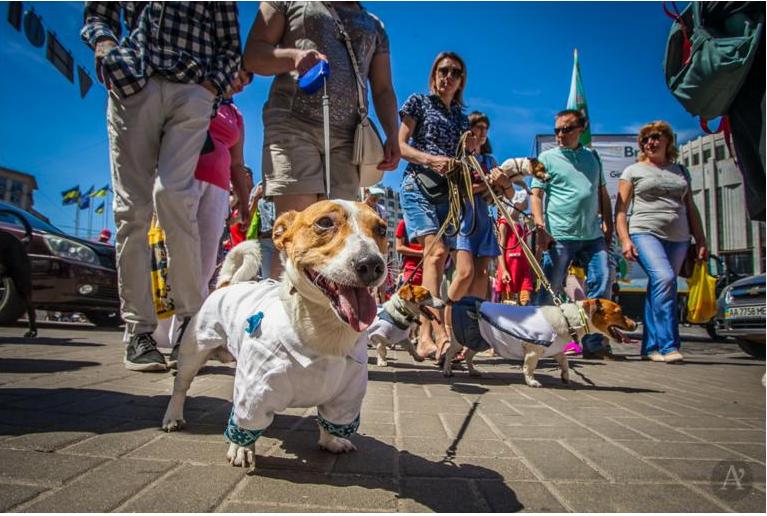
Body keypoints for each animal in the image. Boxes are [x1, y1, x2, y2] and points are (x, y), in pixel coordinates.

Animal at [444, 298, 636, 388]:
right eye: (619, 311)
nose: (635, 324)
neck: (567, 319)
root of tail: (459, 302)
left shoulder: (557, 350)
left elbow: (565, 363)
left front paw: (565, 377)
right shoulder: (533, 351)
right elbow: (529, 368)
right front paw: (531, 382)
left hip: (480, 340)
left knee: (468, 354)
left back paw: (472, 371)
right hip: (461, 339)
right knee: (449, 352)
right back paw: (447, 371)